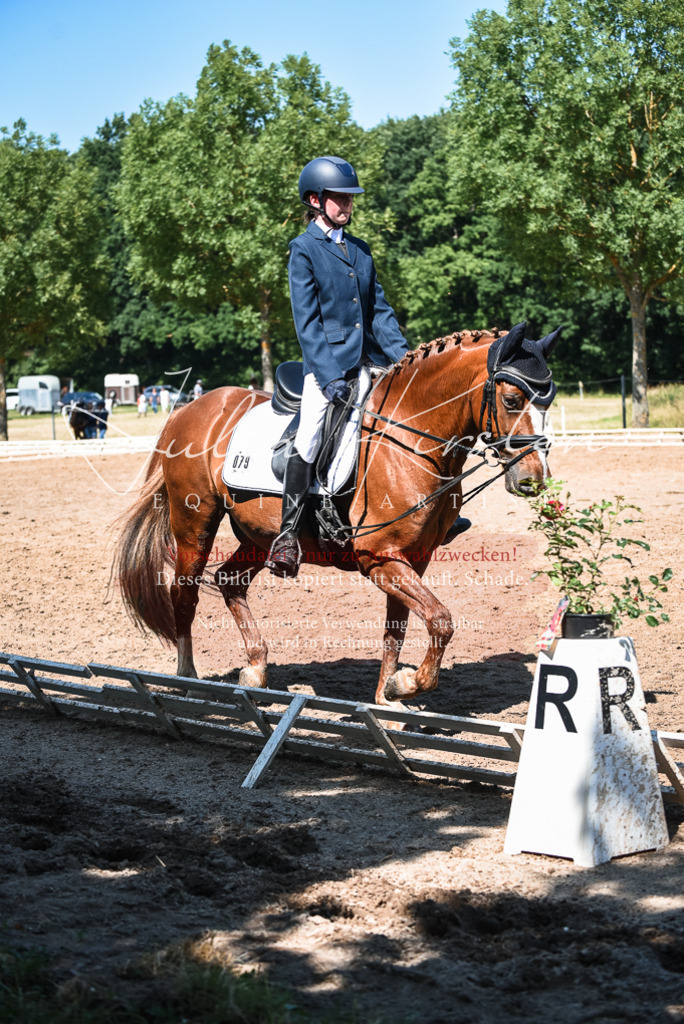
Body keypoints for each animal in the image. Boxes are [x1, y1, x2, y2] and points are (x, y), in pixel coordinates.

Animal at [113, 321, 560, 708]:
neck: (410, 441)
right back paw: (187, 678)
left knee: (230, 581)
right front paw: (405, 685)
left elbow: (397, 629)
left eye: (549, 403)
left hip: (259, 536)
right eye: (511, 401)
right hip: (195, 526)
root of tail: (189, 408)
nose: (533, 479)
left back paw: (256, 668)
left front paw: (387, 700)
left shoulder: (411, 559)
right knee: (184, 594)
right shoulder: (380, 557)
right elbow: (440, 619)